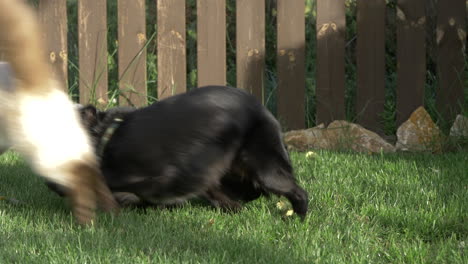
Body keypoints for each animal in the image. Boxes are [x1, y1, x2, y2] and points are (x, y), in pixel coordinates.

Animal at [48, 85, 310, 218]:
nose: (51, 186)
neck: (106, 139)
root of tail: (264, 110)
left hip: (265, 169)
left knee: (299, 191)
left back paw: (298, 216)